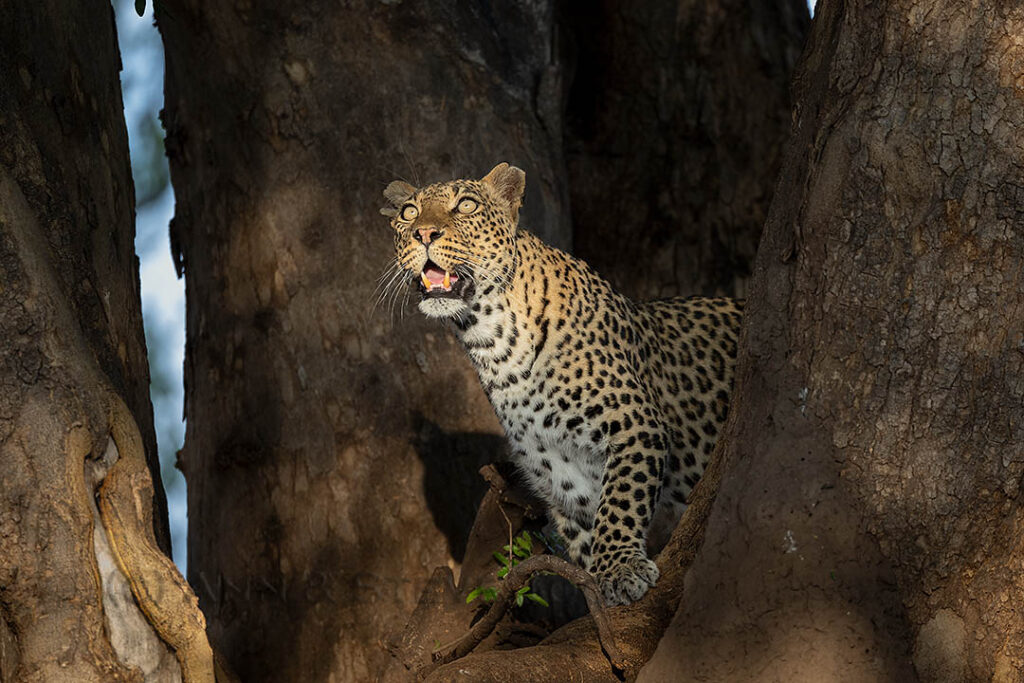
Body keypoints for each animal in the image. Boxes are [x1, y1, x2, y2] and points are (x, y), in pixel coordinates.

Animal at [380, 163, 743, 605]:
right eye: (409, 213)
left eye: (465, 205)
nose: (424, 234)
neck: (493, 344)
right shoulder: (564, 475)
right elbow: (590, 534)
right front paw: (601, 587)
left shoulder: (636, 425)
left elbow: (621, 503)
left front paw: (621, 569)